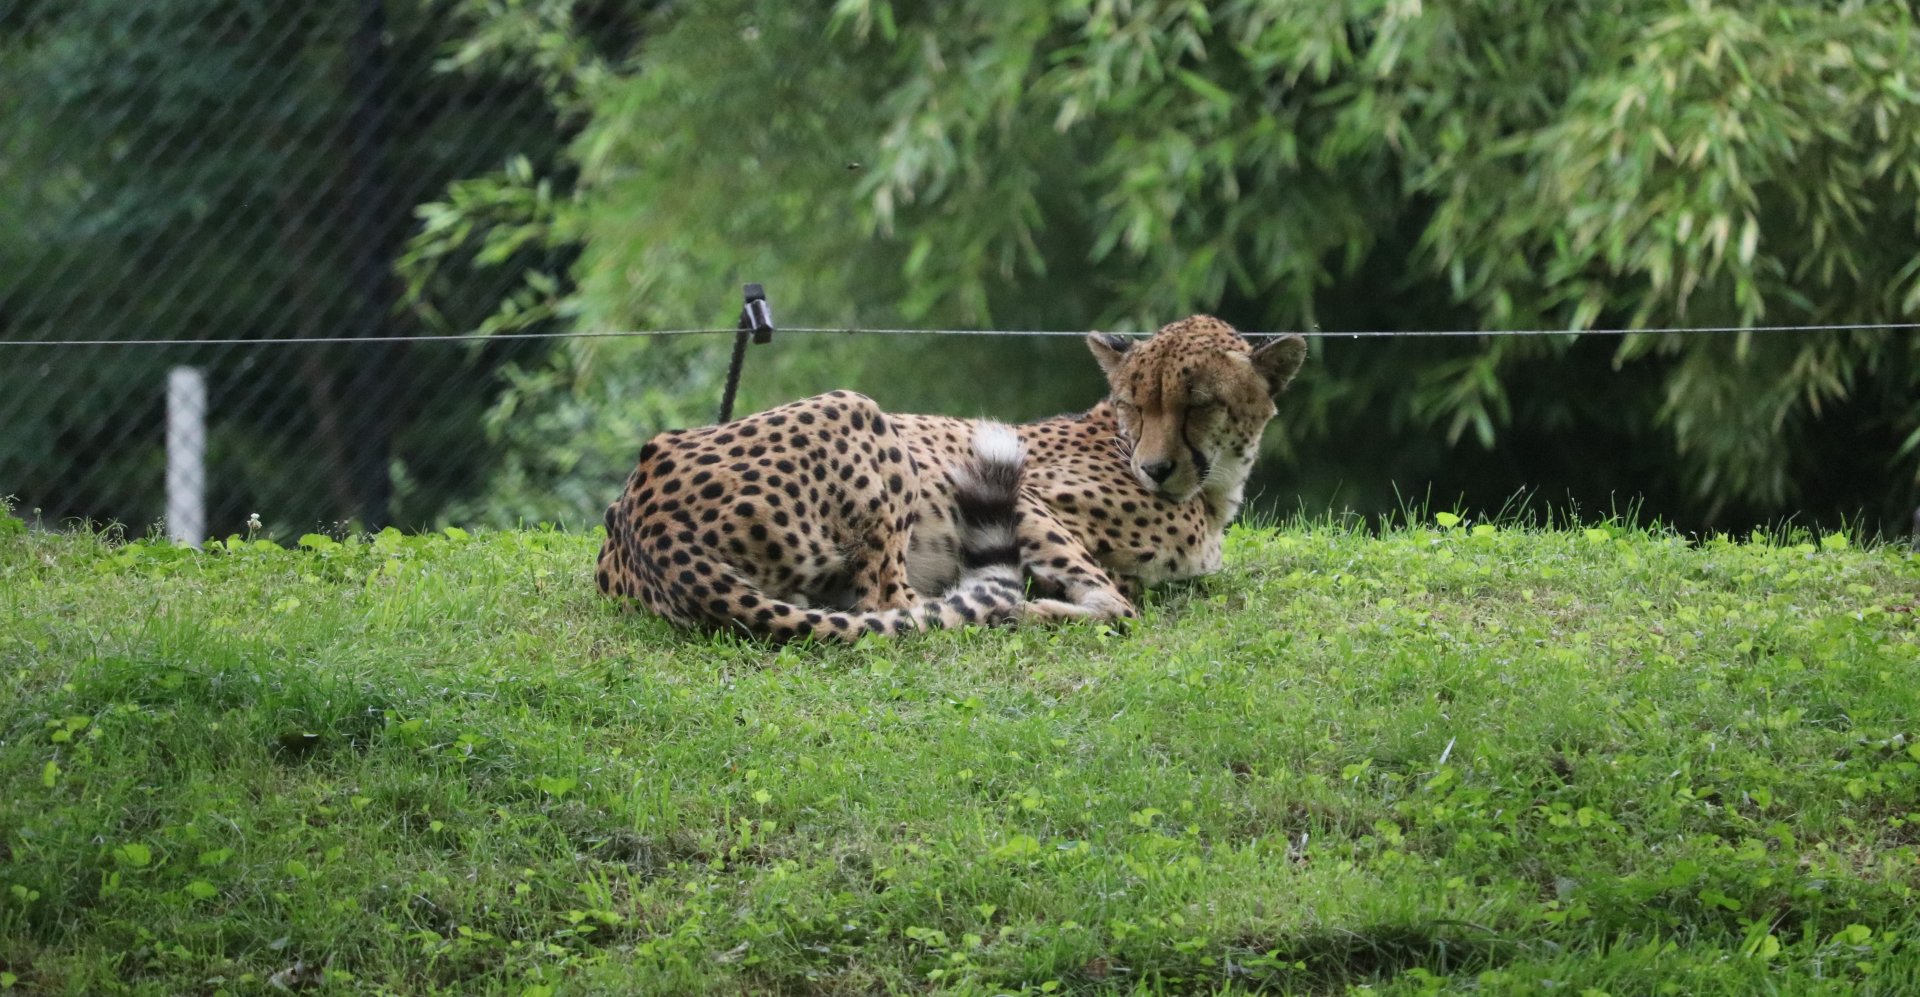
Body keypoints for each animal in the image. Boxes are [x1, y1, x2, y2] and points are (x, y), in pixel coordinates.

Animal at [594, 315, 1307, 640]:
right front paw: (1047, 602)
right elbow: (1114, 598)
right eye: (1136, 402)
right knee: (896, 605)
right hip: (859, 411)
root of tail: (640, 517)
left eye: (1199, 403)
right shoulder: (1031, 496)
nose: (1154, 469)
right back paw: (1017, 608)